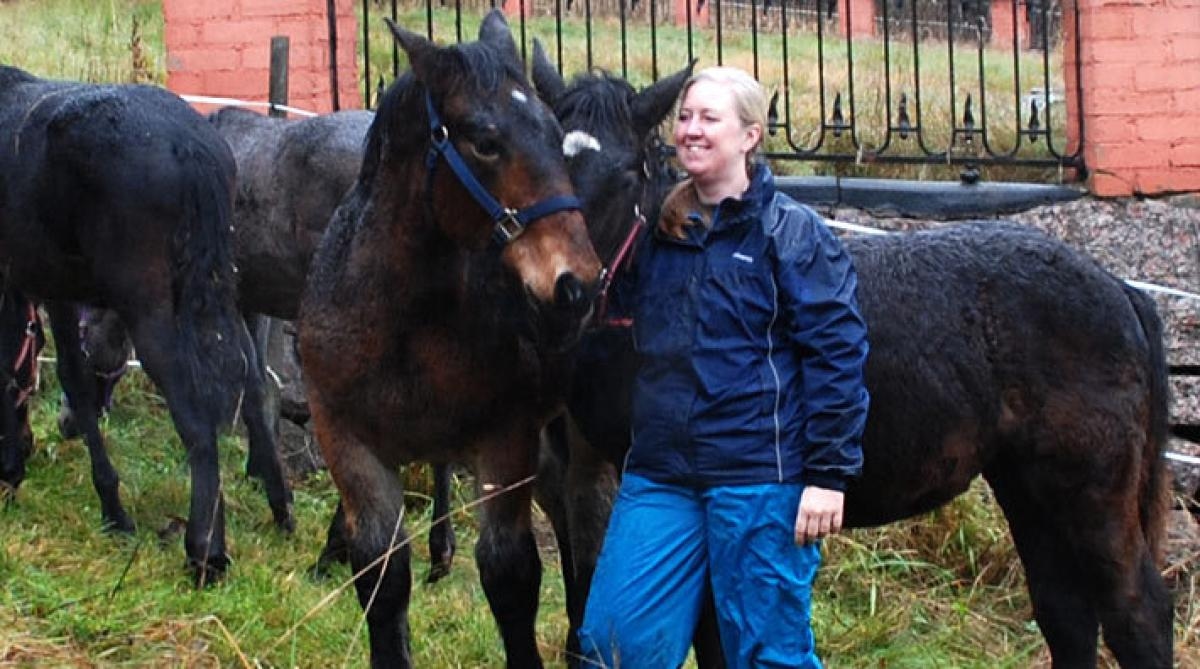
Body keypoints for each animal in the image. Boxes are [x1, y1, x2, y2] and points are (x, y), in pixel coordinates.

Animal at [0, 65, 292, 585]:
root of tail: (194, 150)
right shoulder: (48, 284)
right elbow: (43, 369)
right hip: (216, 285)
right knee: (253, 382)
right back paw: (278, 510)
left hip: (149, 303)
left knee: (196, 416)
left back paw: (205, 551)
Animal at [296, 11, 604, 669]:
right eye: (484, 140)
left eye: (552, 130)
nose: (577, 284)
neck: (403, 324)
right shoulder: (348, 443)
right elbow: (381, 576)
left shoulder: (505, 441)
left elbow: (510, 574)